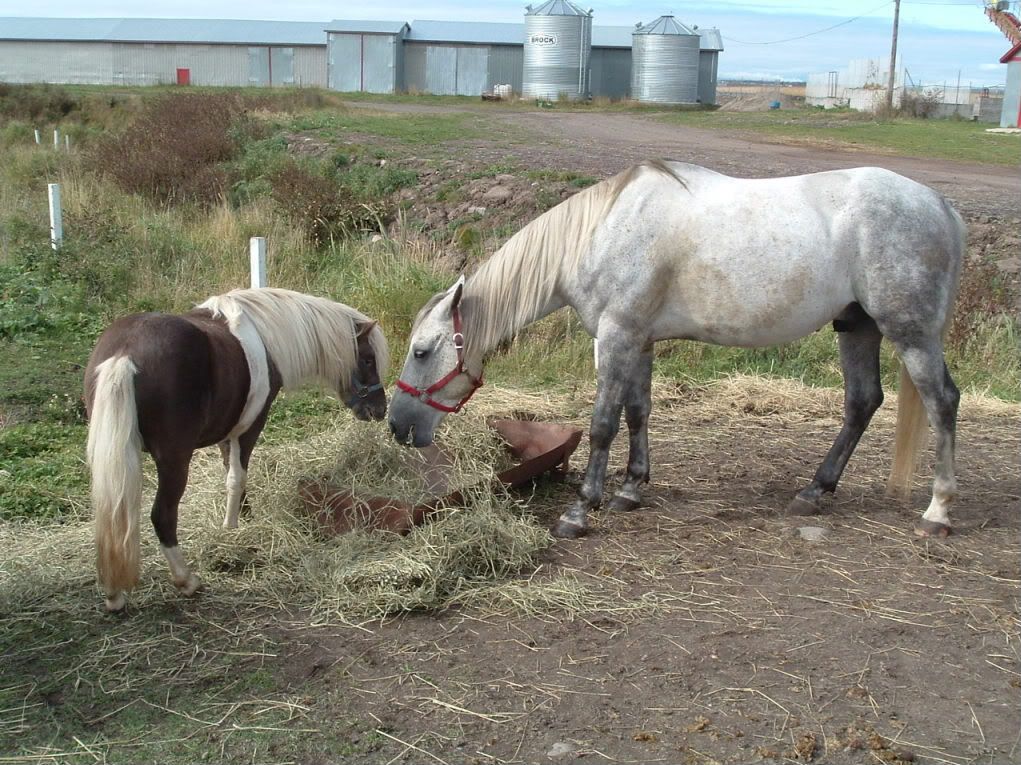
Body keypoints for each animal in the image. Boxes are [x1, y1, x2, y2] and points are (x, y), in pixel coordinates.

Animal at [82, 290, 385, 612]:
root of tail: (125, 354)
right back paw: (186, 581)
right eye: (367, 359)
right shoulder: (248, 428)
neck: (266, 339)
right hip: (174, 459)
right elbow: (236, 477)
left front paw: (242, 519)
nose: (380, 409)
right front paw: (232, 528)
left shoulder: (226, 431)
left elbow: (231, 471)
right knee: (162, 515)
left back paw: (114, 594)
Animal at [387, 162, 963, 535]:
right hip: (857, 326)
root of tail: (941, 205)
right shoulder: (639, 340)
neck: (600, 233)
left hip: (910, 333)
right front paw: (630, 491)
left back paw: (937, 511)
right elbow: (638, 412)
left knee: (941, 402)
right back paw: (814, 492)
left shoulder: (616, 336)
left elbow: (603, 423)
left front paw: (580, 512)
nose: (396, 426)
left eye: (422, 351)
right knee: (862, 402)